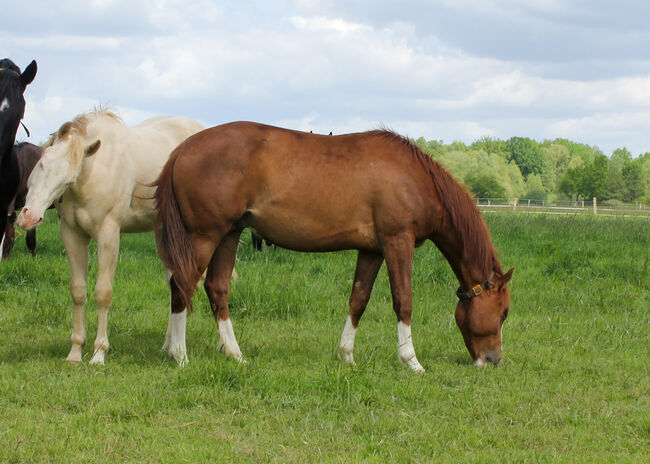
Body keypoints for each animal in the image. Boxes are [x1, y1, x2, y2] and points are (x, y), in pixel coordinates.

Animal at [17, 109, 202, 366]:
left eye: (68, 179)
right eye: (42, 163)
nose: (29, 217)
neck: (95, 170)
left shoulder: (109, 235)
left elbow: (103, 294)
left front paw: (98, 353)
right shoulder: (72, 235)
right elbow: (78, 291)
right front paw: (75, 352)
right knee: (174, 283)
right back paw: (168, 345)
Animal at [153, 121, 512, 372]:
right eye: (504, 312)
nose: (494, 360)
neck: (414, 177)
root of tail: (183, 149)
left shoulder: (372, 250)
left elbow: (359, 300)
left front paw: (346, 355)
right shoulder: (398, 242)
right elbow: (403, 301)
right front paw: (411, 361)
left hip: (229, 235)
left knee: (216, 289)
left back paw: (234, 354)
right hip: (204, 236)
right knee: (182, 286)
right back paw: (179, 355)